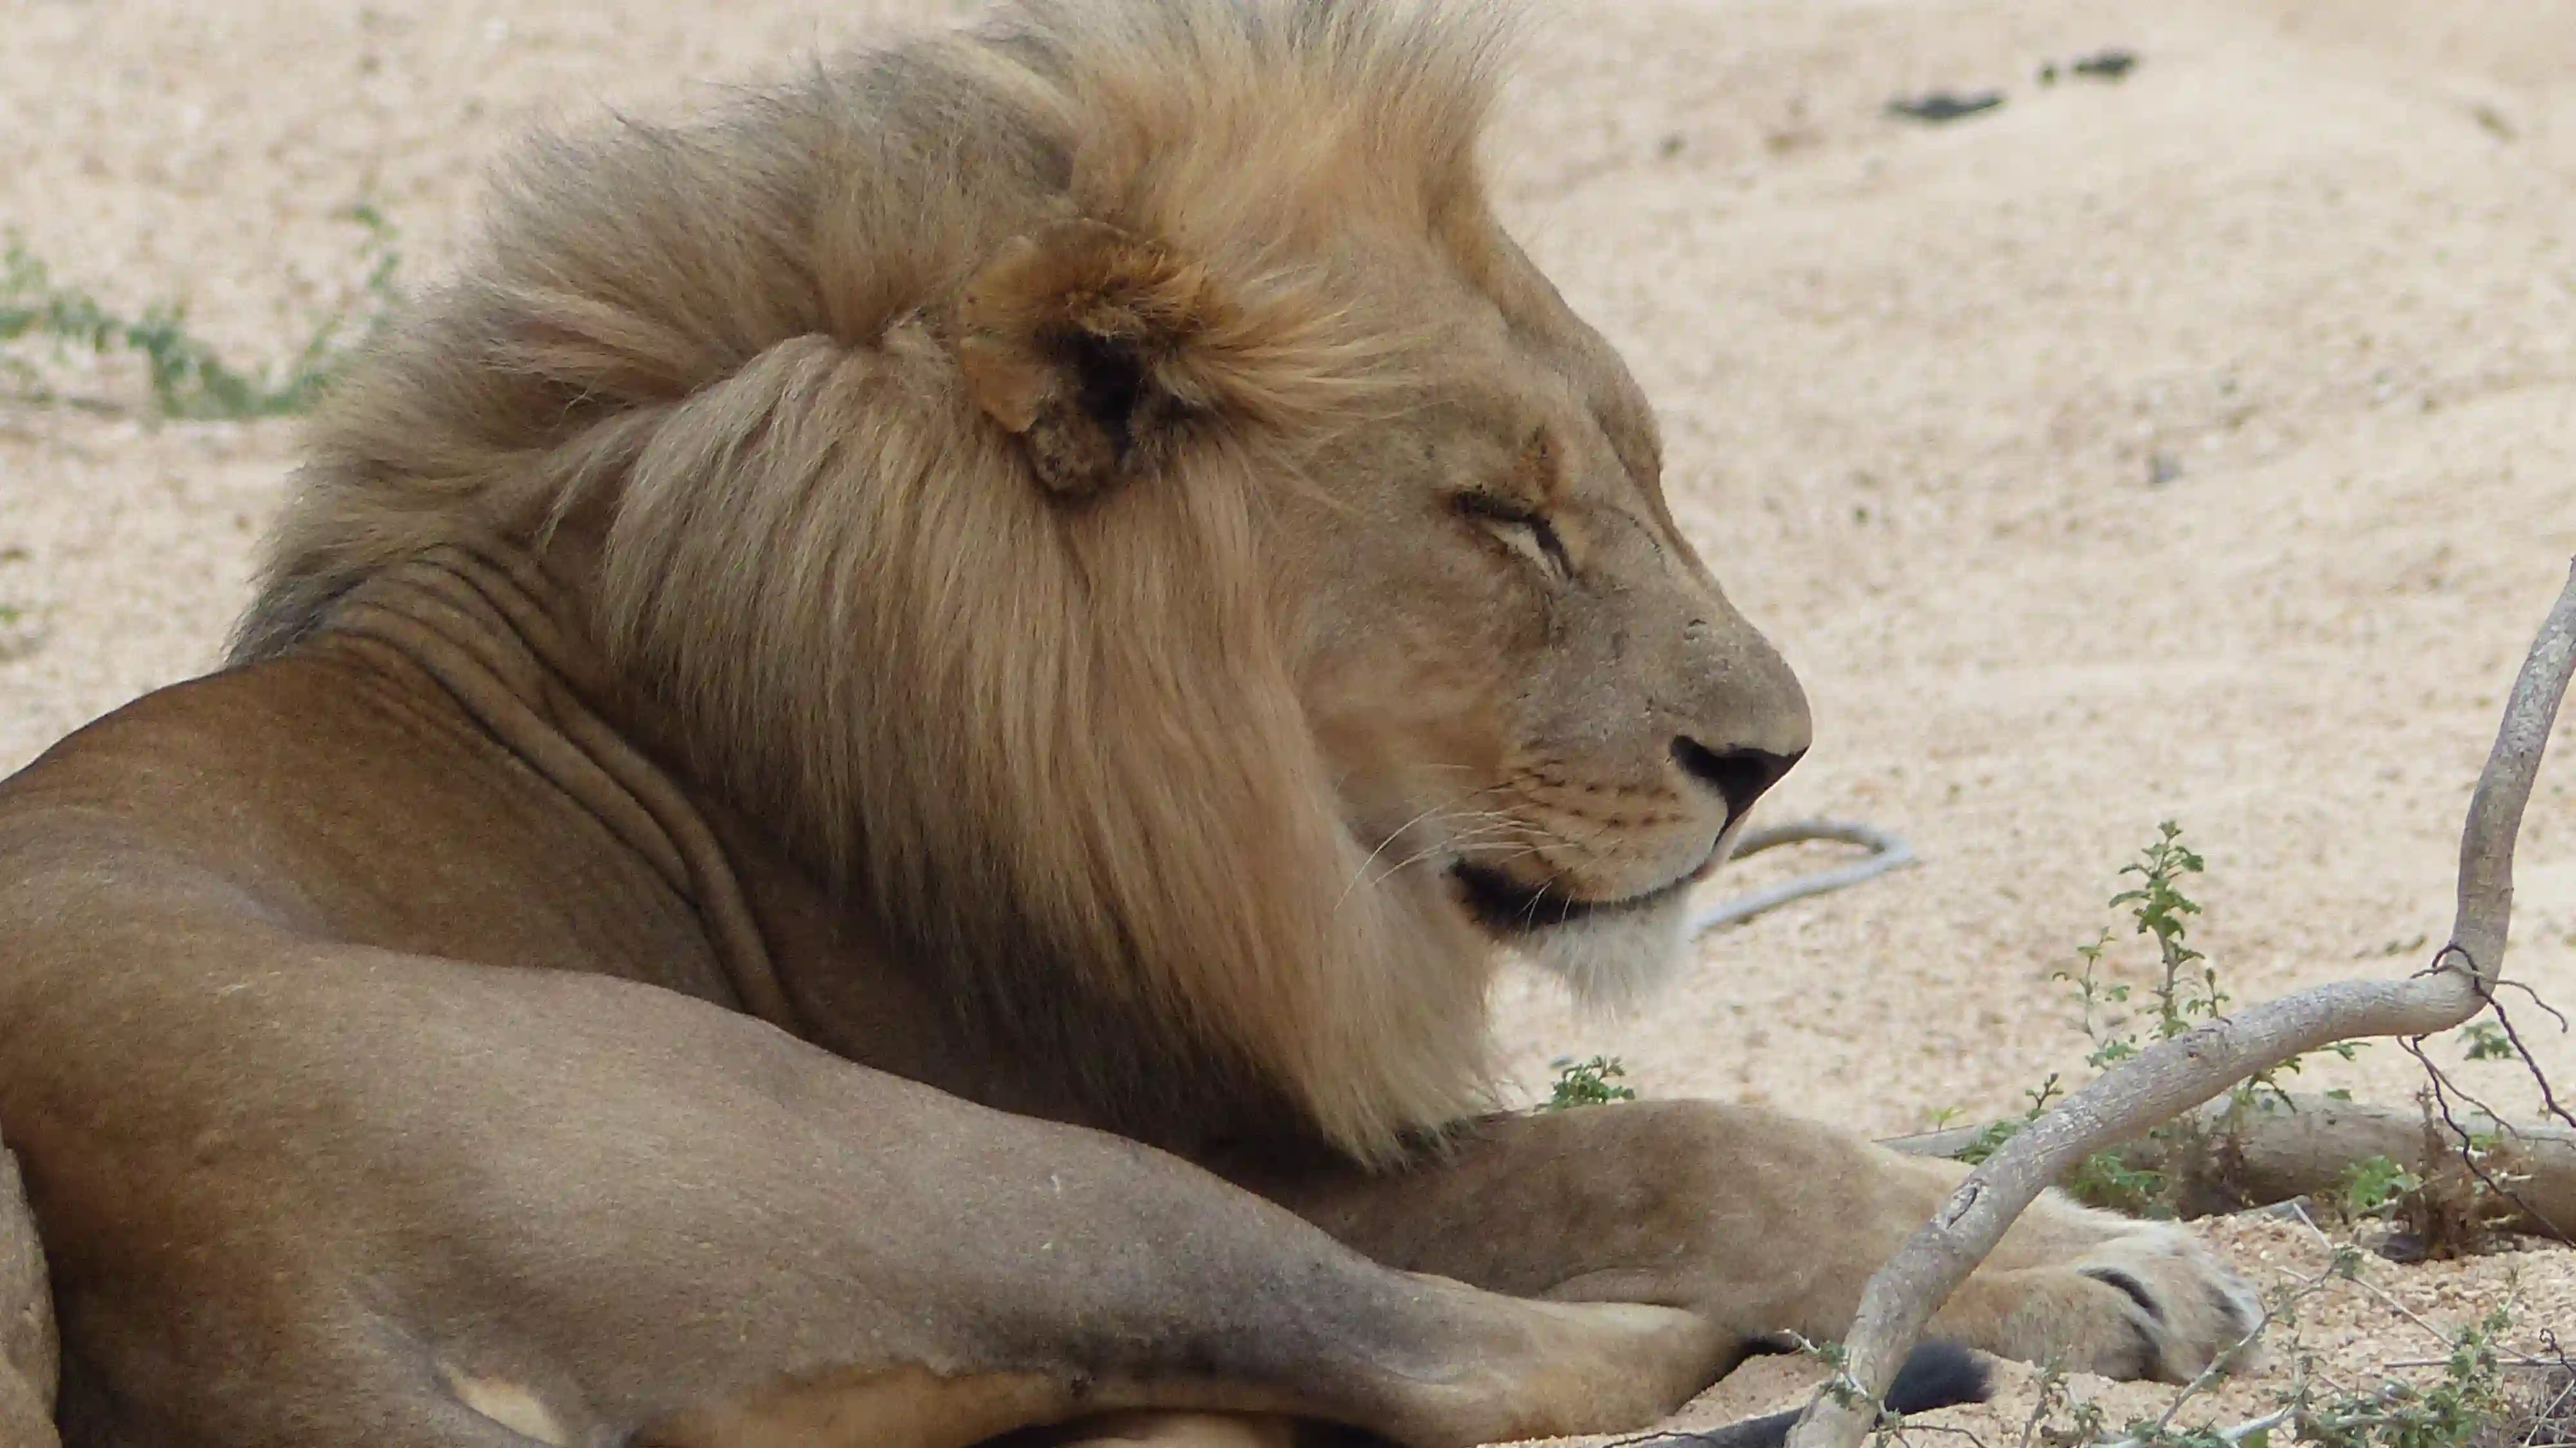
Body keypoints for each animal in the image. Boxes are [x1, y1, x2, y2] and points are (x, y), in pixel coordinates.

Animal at [0, 3, 2257, 1443]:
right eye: (1501, 516)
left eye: (1637, 475)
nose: (1770, 759)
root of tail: (236, 1260)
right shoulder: (1221, 1130)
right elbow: (1665, 1149)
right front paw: (2100, 1266)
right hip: (988, 1172)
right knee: (1475, 1353)